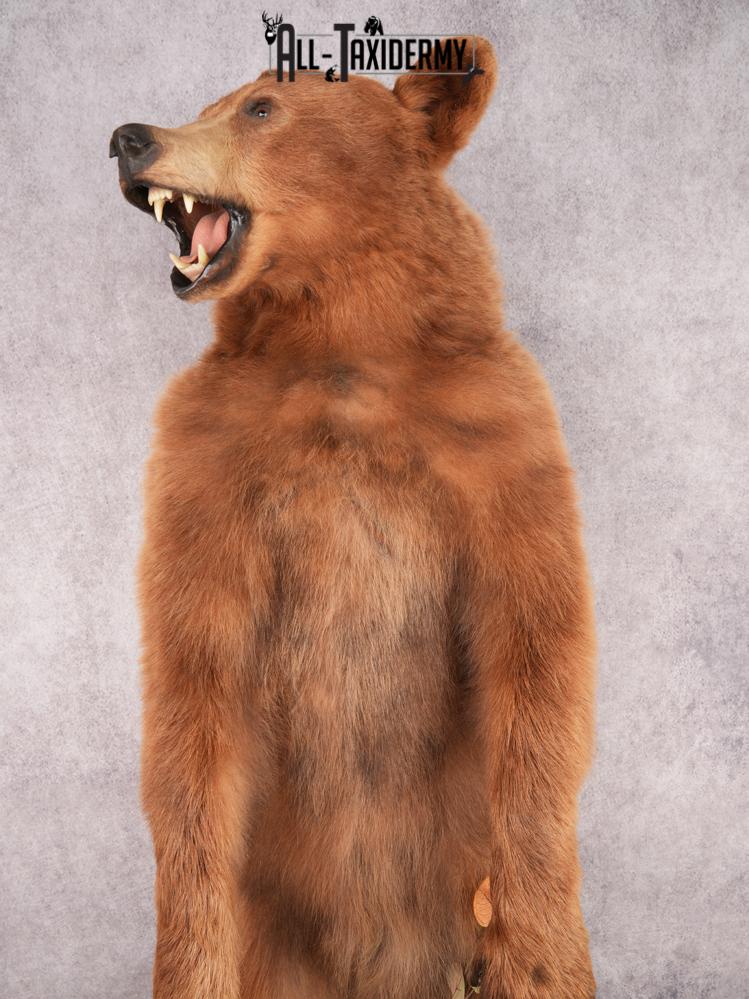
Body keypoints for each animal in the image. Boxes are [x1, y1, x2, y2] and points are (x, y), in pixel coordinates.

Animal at [109, 37, 596, 999]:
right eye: (210, 101)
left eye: (260, 106)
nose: (129, 136)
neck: (338, 349)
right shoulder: (209, 464)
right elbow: (194, 684)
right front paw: (190, 954)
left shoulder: (495, 440)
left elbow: (534, 653)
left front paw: (539, 953)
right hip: (279, 937)